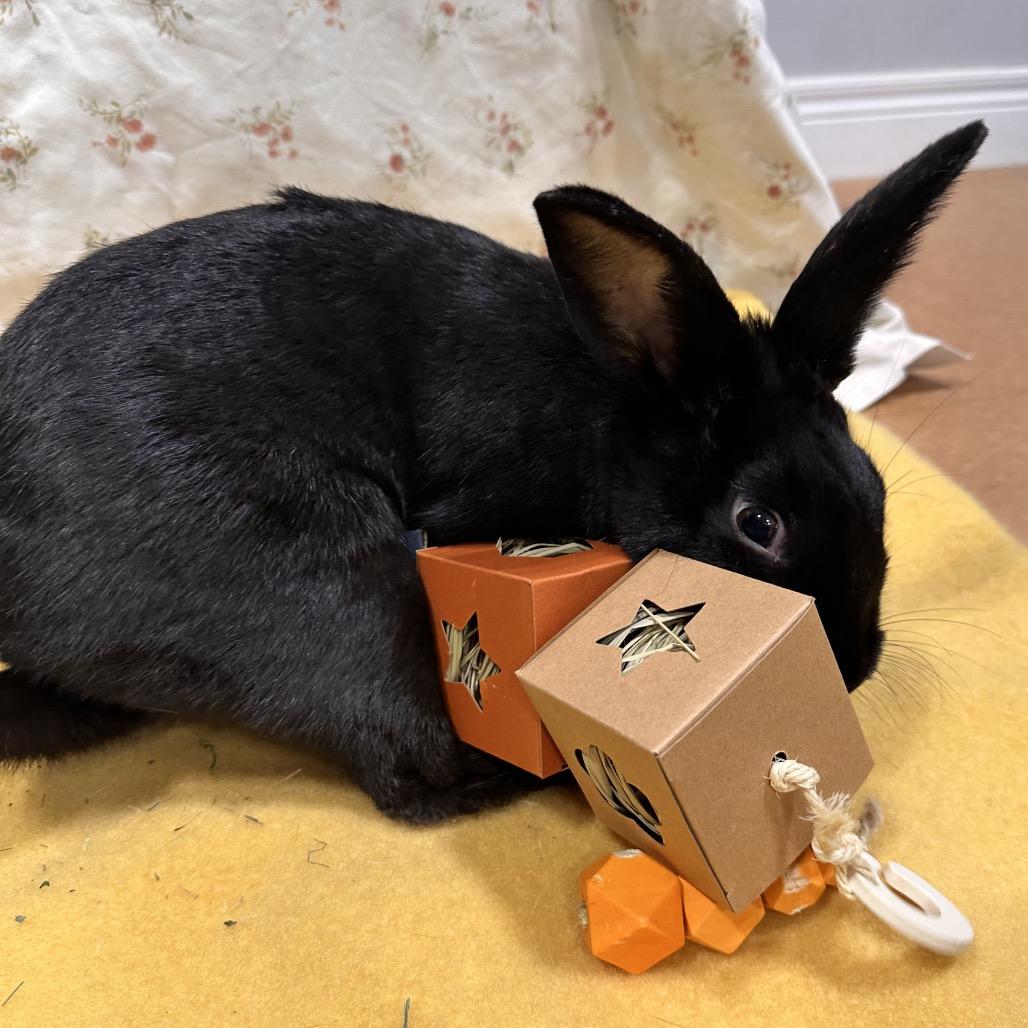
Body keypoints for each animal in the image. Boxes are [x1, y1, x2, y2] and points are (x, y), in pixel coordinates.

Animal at [0, 121, 986, 822]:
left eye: (876, 493)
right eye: (758, 524)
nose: (852, 667)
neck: (613, 422)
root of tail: (30, 630)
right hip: (342, 580)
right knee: (410, 773)